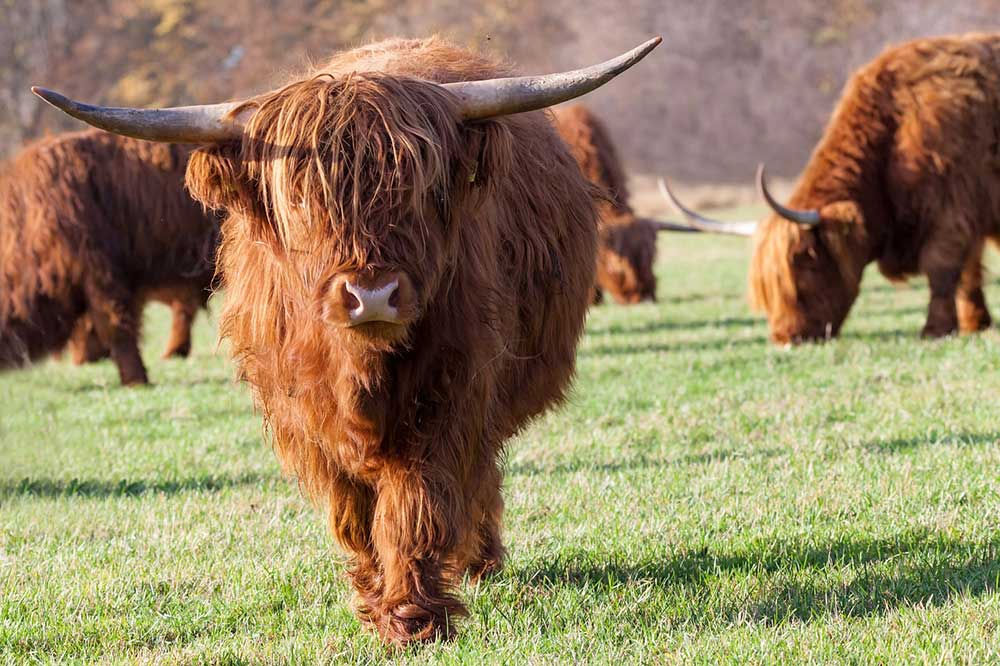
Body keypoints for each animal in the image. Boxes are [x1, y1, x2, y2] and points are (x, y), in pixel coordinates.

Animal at [34, 36, 661, 643]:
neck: (358, 369)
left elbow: (416, 504)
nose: (372, 294)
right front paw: (372, 596)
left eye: (418, 188)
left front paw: (412, 617)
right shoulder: (305, 418)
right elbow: (353, 514)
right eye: (301, 198)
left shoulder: (451, 393)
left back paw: (477, 562)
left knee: (479, 477)